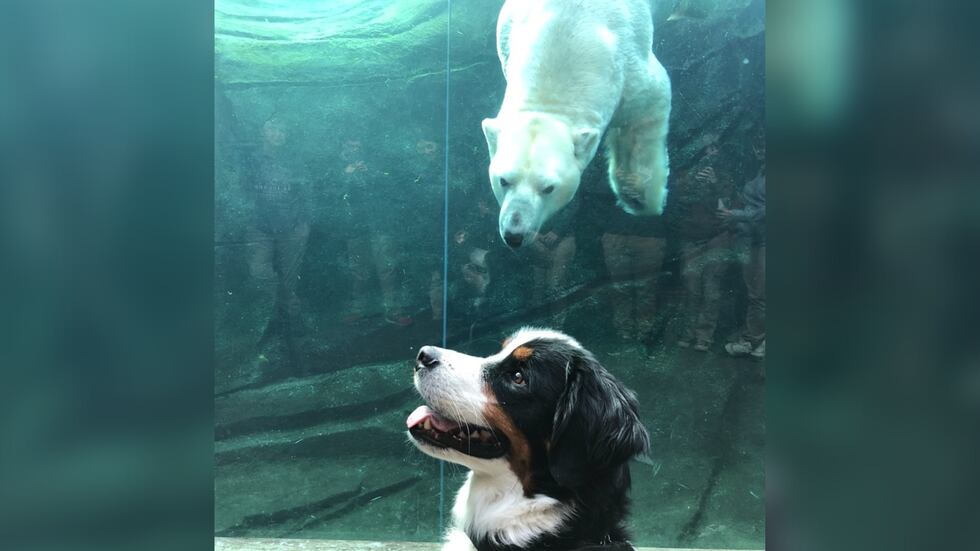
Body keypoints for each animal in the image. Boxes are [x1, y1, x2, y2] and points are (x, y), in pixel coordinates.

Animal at [482, 0, 672, 248]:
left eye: (549, 188)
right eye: (503, 180)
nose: (515, 234)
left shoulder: (630, 67)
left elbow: (648, 105)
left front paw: (637, 198)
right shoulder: (508, 28)